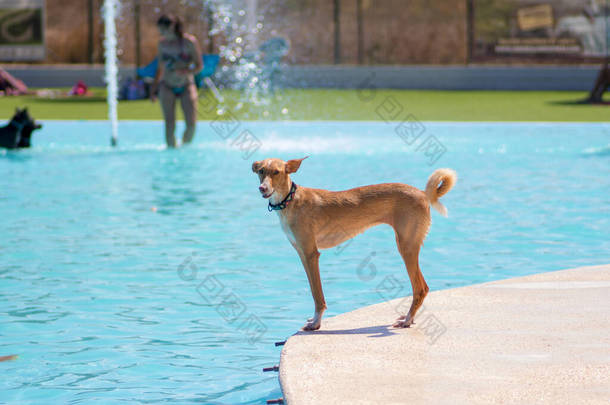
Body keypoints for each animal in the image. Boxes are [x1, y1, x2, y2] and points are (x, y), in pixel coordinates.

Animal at [249, 156, 454, 330]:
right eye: (261, 171)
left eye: (276, 172)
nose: (262, 188)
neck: (290, 201)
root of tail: (422, 193)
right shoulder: (302, 253)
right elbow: (314, 291)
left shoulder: (311, 254)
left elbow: (317, 295)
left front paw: (316, 323)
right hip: (408, 245)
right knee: (423, 287)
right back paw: (408, 317)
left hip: (406, 247)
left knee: (420, 288)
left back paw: (407, 320)